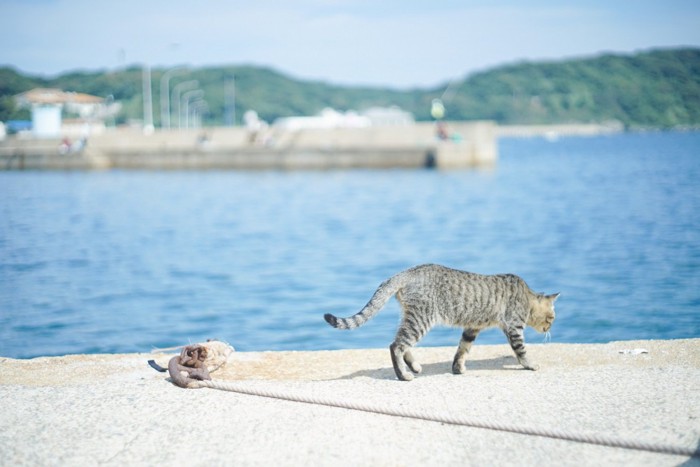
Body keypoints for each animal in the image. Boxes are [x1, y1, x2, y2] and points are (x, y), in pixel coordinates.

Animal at [322, 266, 556, 382]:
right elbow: (521, 351)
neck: (526, 296)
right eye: (551, 318)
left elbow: (462, 349)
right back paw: (403, 375)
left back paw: (414, 366)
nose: (550, 329)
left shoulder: (472, 328)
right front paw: (530, 365)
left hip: (411, 317)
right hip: (421, 319)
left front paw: (457, 368)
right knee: (396, 345)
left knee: (400, 342)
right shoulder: (514, 327)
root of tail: (407, 272)